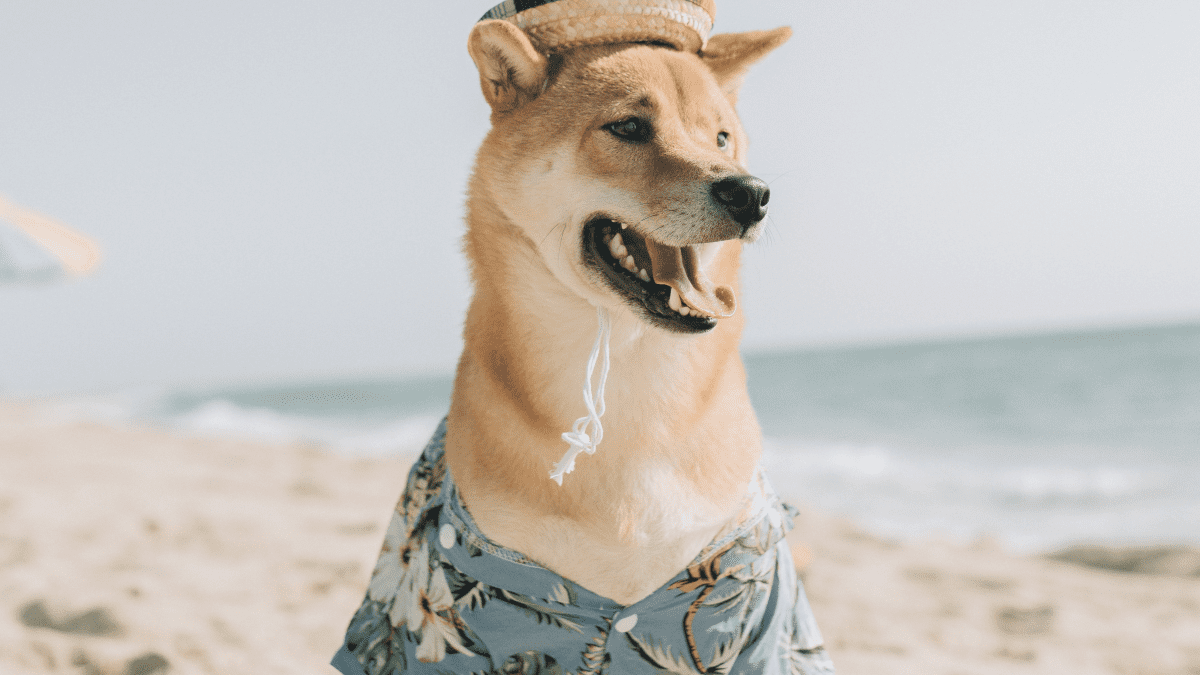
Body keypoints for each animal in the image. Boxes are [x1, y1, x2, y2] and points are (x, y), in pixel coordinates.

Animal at [331, 2, 835, 667]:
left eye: (722, 138)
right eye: (628, 127)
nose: (751, 192)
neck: (628, 395)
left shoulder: (750, 604)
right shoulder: (447, 605)